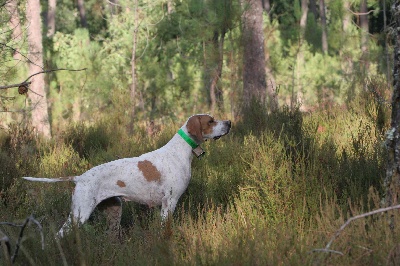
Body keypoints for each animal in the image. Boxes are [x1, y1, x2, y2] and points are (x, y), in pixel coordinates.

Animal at [22, 114, 231, 237]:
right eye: (211, 121)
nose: (229, 122)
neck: (180, 151)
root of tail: (79, 178)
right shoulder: (169, 202)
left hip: (114, 211)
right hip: (80, 214)